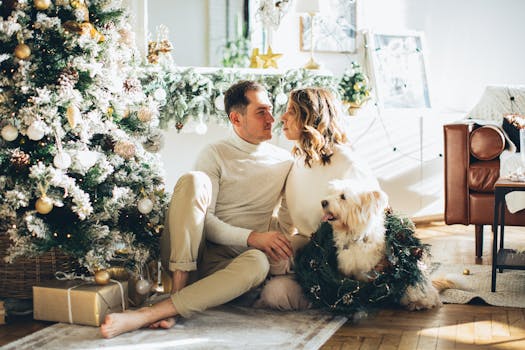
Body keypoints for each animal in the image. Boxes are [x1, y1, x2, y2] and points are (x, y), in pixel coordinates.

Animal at [322, 180, 444, 312]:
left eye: (343, 197)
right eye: (331, 193)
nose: (323, 202)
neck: (355, 235)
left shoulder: (367, 271)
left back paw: (417, 303)